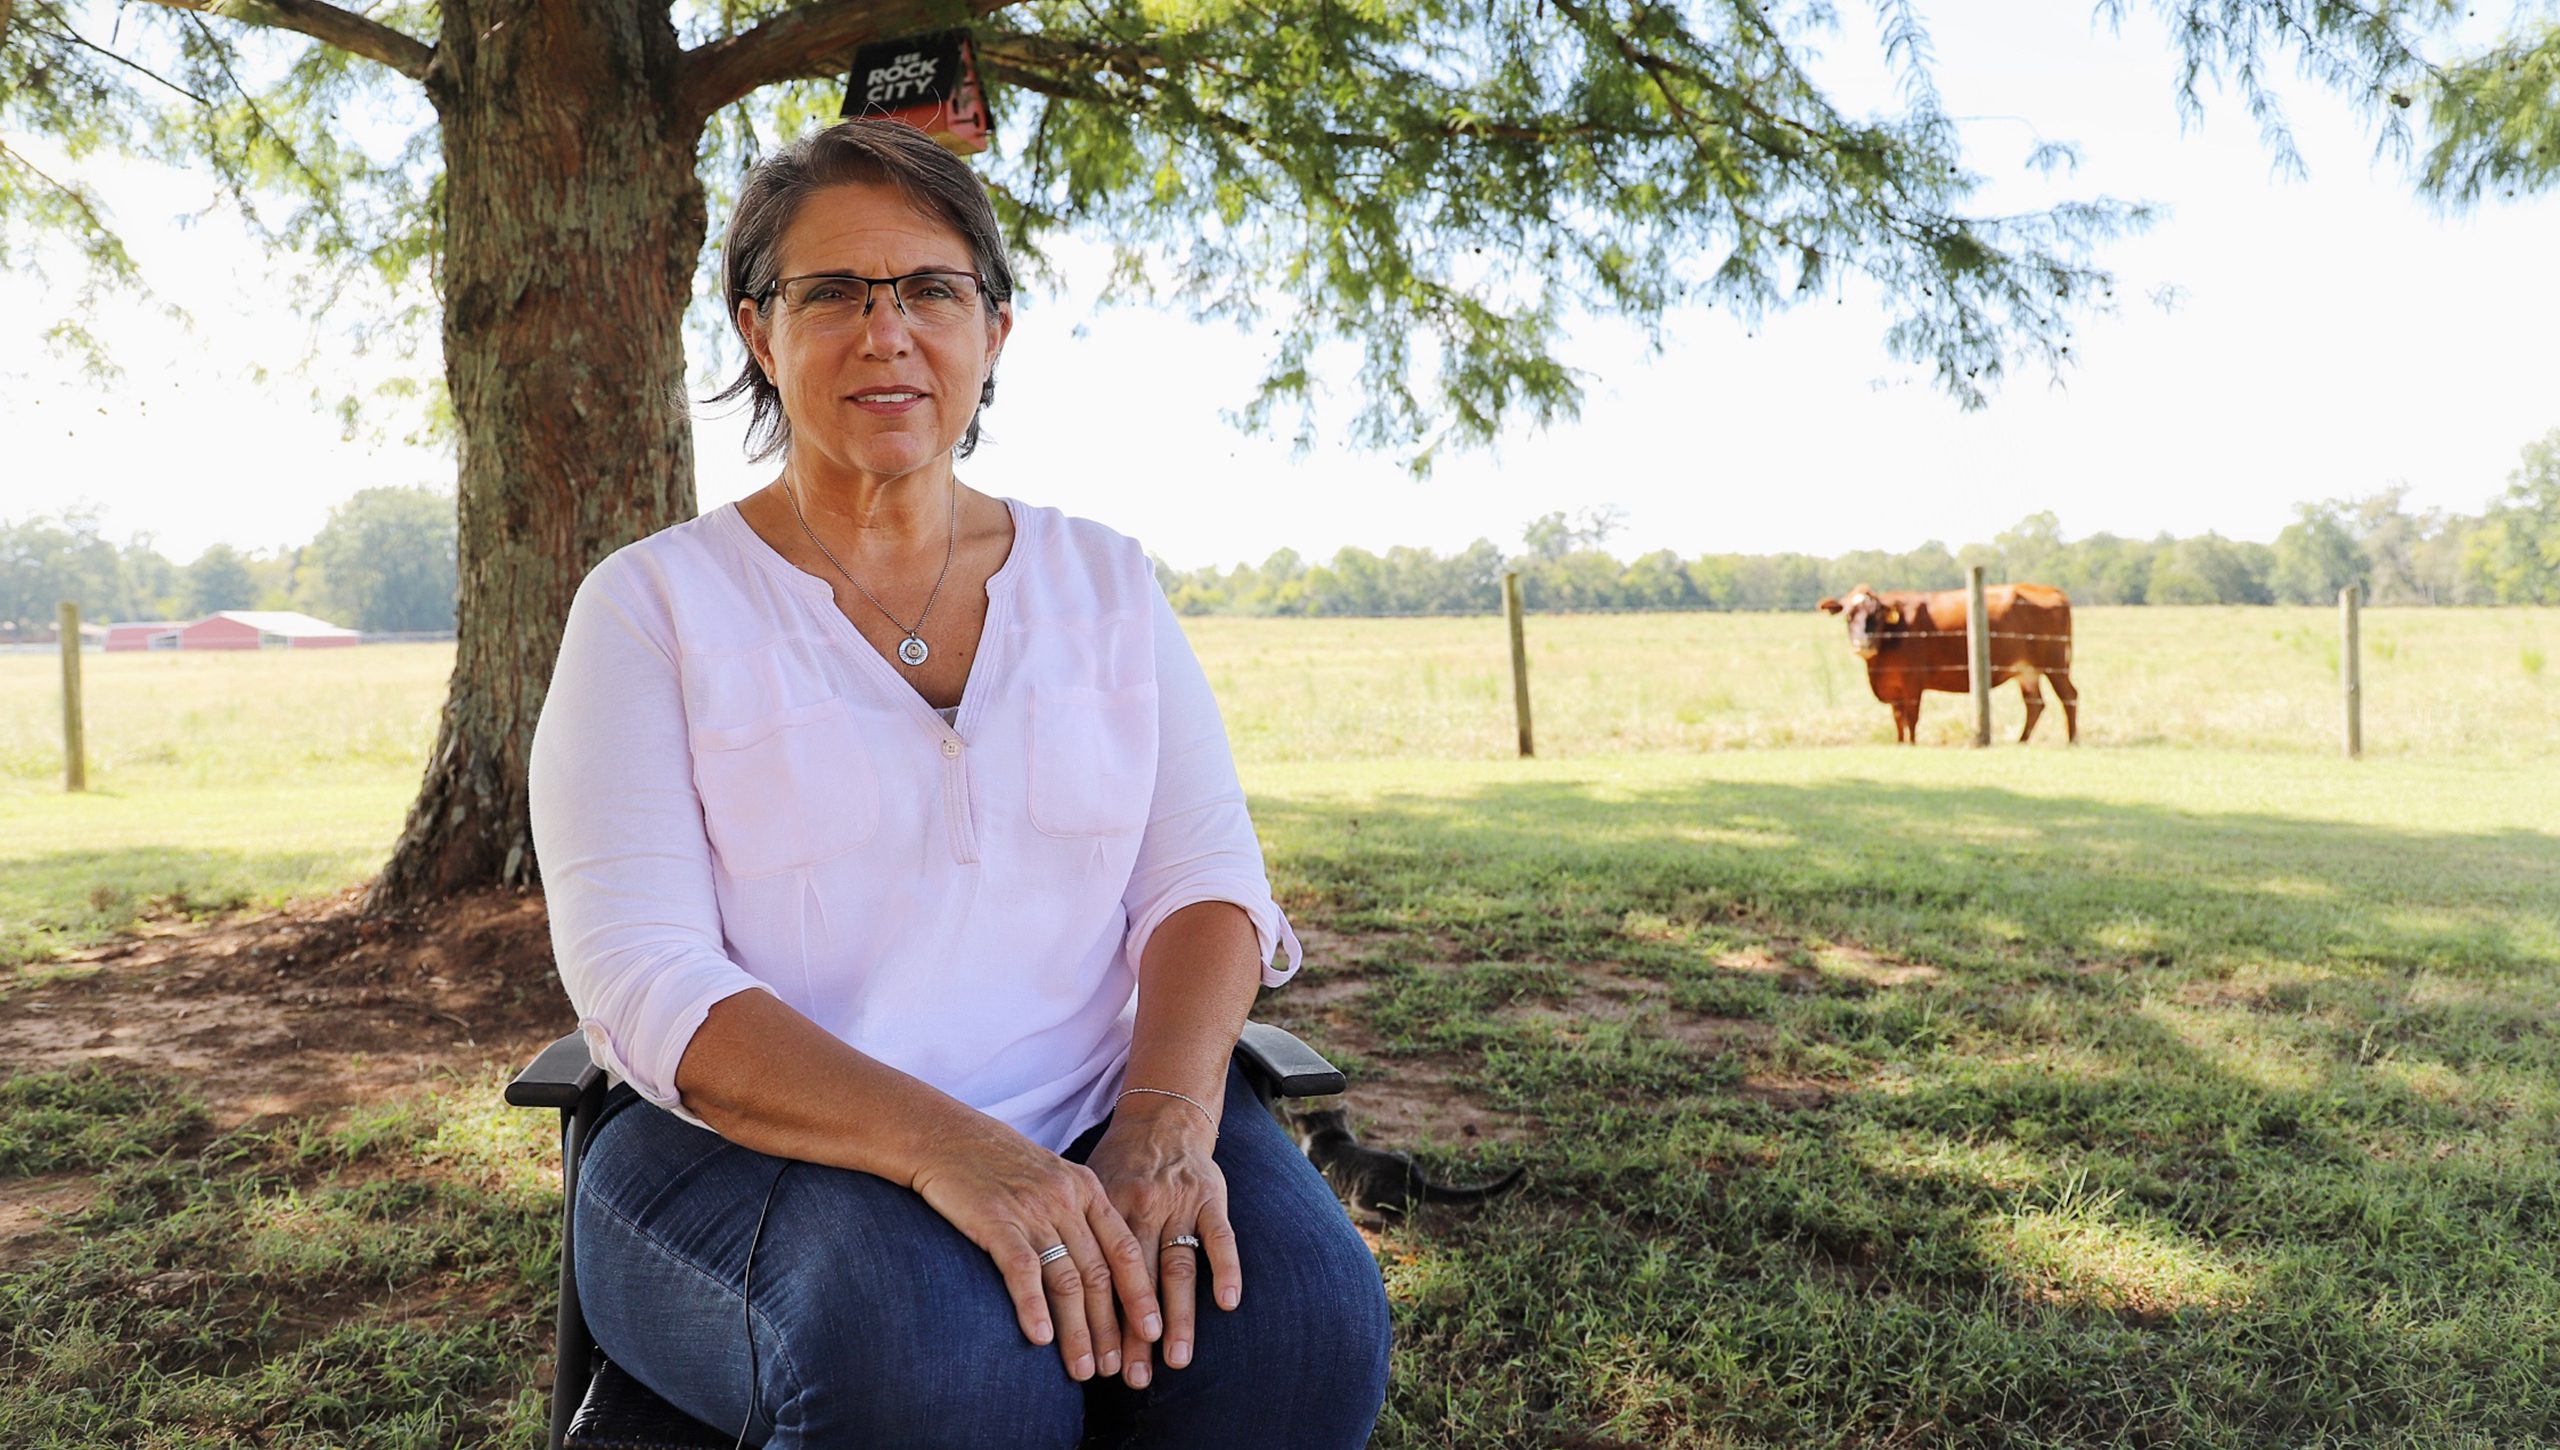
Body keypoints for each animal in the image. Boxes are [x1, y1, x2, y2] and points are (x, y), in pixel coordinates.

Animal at [1822, 586, 2078, 742]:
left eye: (1875, 615)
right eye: (1848, 615)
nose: (1862, 643)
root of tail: (2049, 589)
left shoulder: (1913, 682)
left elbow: (1911, 718)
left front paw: (1912, 744)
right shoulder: (1894, 688)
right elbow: (1898, 719)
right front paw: (1900, 743)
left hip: (2055, 665)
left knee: (2069, 696)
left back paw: (2072, 740)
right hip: (2026, 670)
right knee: (2035, 704)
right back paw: (2021, 741)